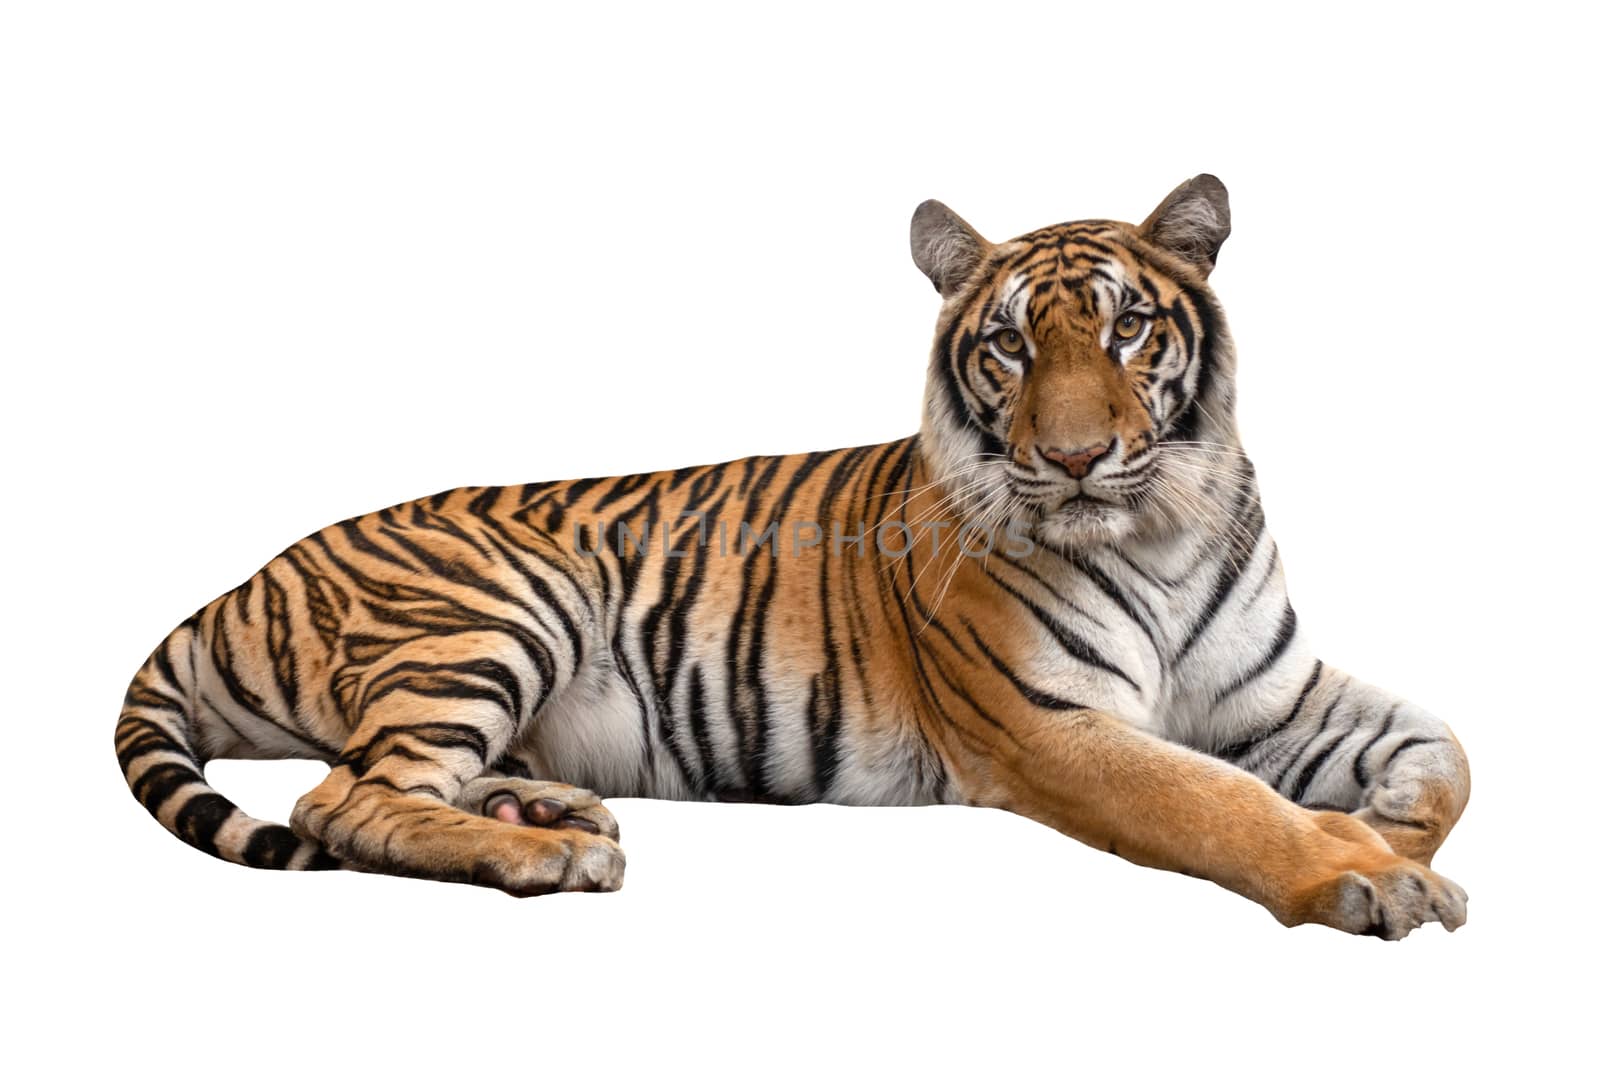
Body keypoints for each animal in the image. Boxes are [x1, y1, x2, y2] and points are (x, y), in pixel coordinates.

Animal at [118, 175, 1465, 934]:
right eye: (1011, 346)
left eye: (1128, 326)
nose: (1078, 457)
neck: (1162, 527)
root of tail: (248, 575)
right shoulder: (1049, 728)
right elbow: (1217, 804)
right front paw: (1368, 876)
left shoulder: (1268, 693)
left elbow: (1445, 754)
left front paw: (1391, 831)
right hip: (497, 610)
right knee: (342, 797)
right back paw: (550, 853)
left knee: (385, 783)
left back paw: (547, 805)